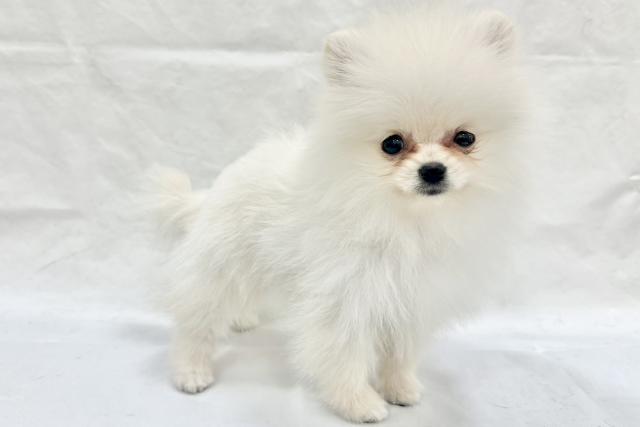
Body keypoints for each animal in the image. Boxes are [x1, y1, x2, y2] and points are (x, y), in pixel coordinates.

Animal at [147, 5, 526, 423]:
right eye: (392, 144)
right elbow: (343, 356)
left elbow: (400, 353)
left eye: (464, 138)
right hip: (221, 263)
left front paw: (400, 388)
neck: (402, 217)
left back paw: (242, 320)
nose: (432, 170)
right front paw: (359, 404)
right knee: (196, 321)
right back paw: (191, 371)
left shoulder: (411, 298)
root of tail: (214, 190)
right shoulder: (346, 297)